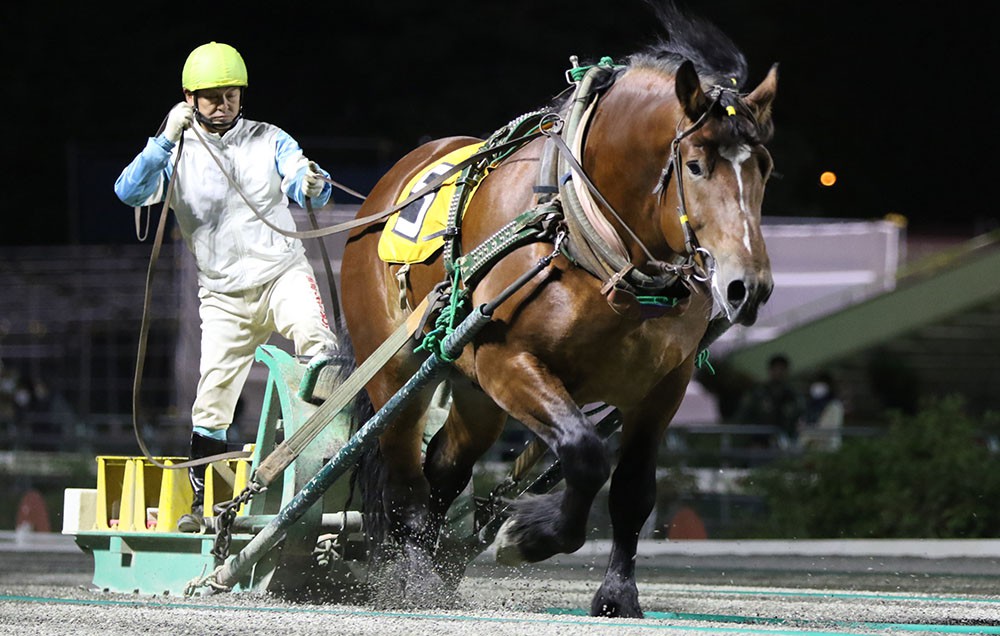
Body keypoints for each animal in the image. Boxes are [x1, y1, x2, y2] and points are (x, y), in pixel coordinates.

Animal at [341, 3, 777, 618]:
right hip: (397, 371)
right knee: (404, 477)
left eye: (763, 166)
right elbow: (585, 453)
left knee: (444, 467)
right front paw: (529, 536)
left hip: (475, 394)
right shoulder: (509, 361)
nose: (747, 287)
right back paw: (415, 579)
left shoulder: (662, 386)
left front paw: (617, 595)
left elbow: (633, 491)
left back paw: (438, 566)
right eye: (695, 166)